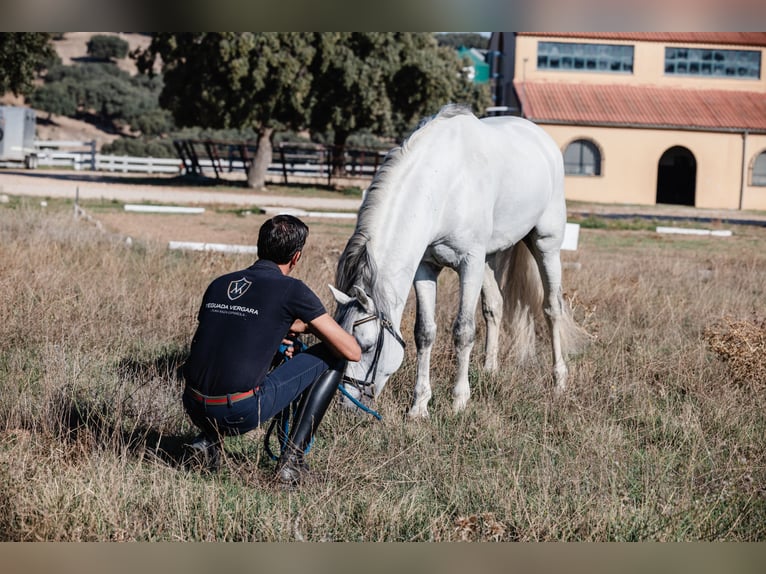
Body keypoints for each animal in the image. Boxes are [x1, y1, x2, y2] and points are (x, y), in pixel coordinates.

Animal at [332, 104, 588, 418]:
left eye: (367, 346)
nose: (346, 406)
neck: (446, 184)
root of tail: (542, 138)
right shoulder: (426, 268)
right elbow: (424, 332)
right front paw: (419, 406)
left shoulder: (470, 264)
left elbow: (463, 331)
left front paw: (459, 401)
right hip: (492, 257)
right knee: (495, 306)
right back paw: (490, 371)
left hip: (545, 245)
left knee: (552, 309)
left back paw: (558, 380)